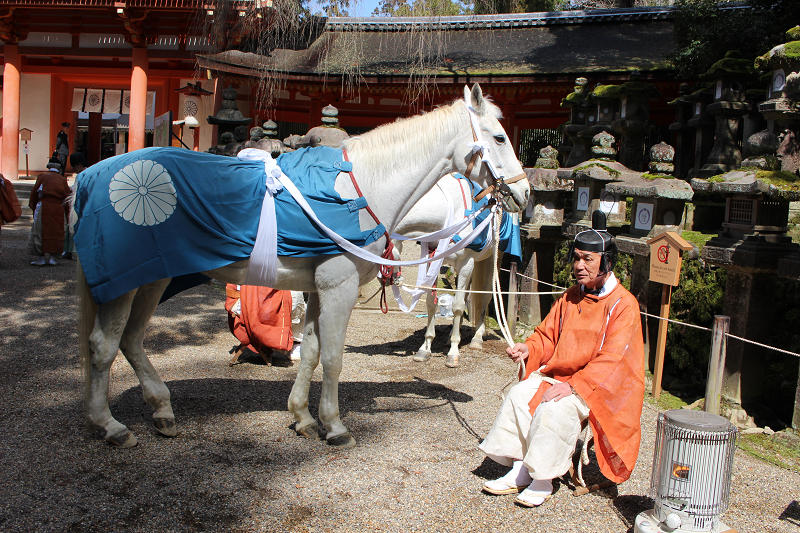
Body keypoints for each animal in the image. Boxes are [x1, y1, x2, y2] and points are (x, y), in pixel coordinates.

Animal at [392, 172, 512, 368]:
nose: (394, 279)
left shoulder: (467, 263)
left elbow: (457, 306)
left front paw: (454, 352)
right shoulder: (434, 259)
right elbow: (432, 303)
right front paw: (425, 348)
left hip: (493, 258)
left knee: (485, 295)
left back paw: (477, 338)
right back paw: (451, 336)